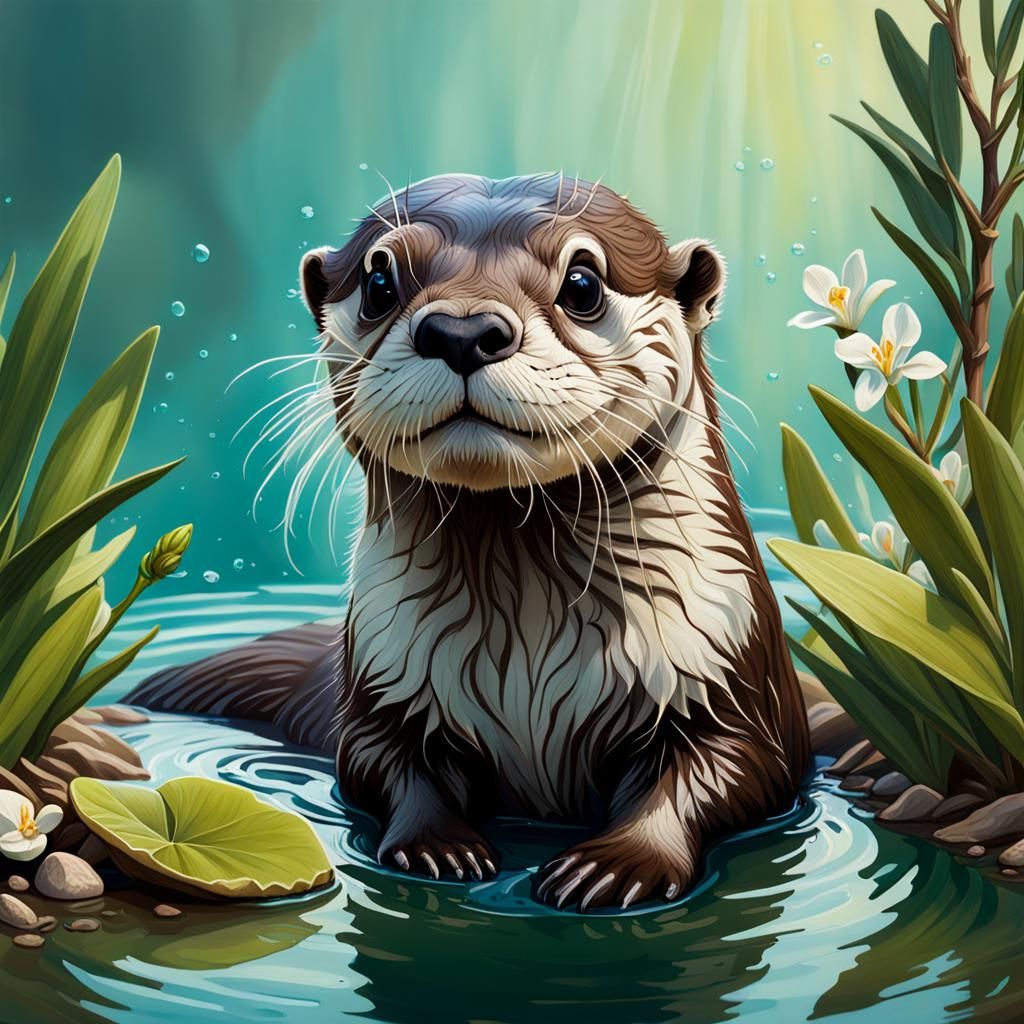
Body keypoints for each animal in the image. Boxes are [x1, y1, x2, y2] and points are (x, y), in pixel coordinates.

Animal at [129, 173, 809, 911]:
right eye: (379, 281)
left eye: (582, 282)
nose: (462, 331)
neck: (528, 653)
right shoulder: (384, 680)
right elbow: (382, 763)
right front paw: (440, 845)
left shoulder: (723, 664)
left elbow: (723, 768)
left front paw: (618, 864)